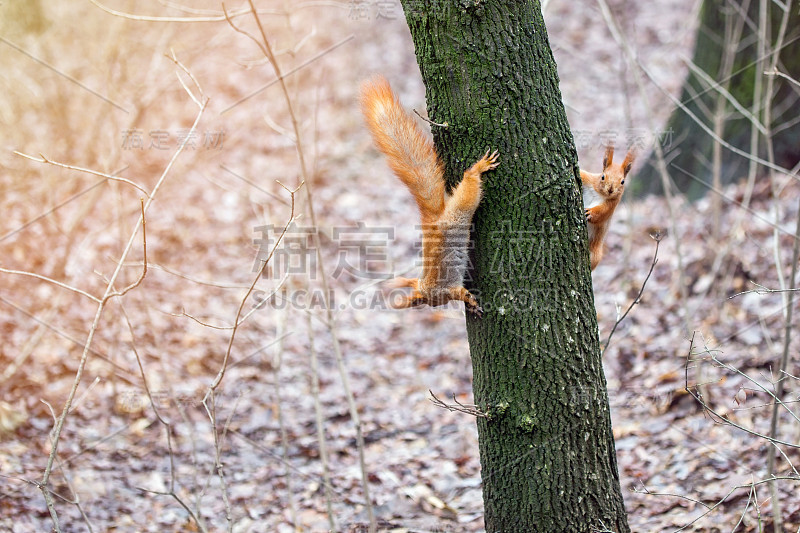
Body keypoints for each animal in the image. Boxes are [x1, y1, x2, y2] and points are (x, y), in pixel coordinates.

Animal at [360, 76, 496, 316]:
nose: (422, 304)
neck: (427, 291)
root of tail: (435, 221)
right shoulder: (447, 290)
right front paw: (471, 303)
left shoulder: (445, 290)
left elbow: (459, 293)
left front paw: (470, 301)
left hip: (459, 211)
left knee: (468, 186)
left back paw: (477, 169)